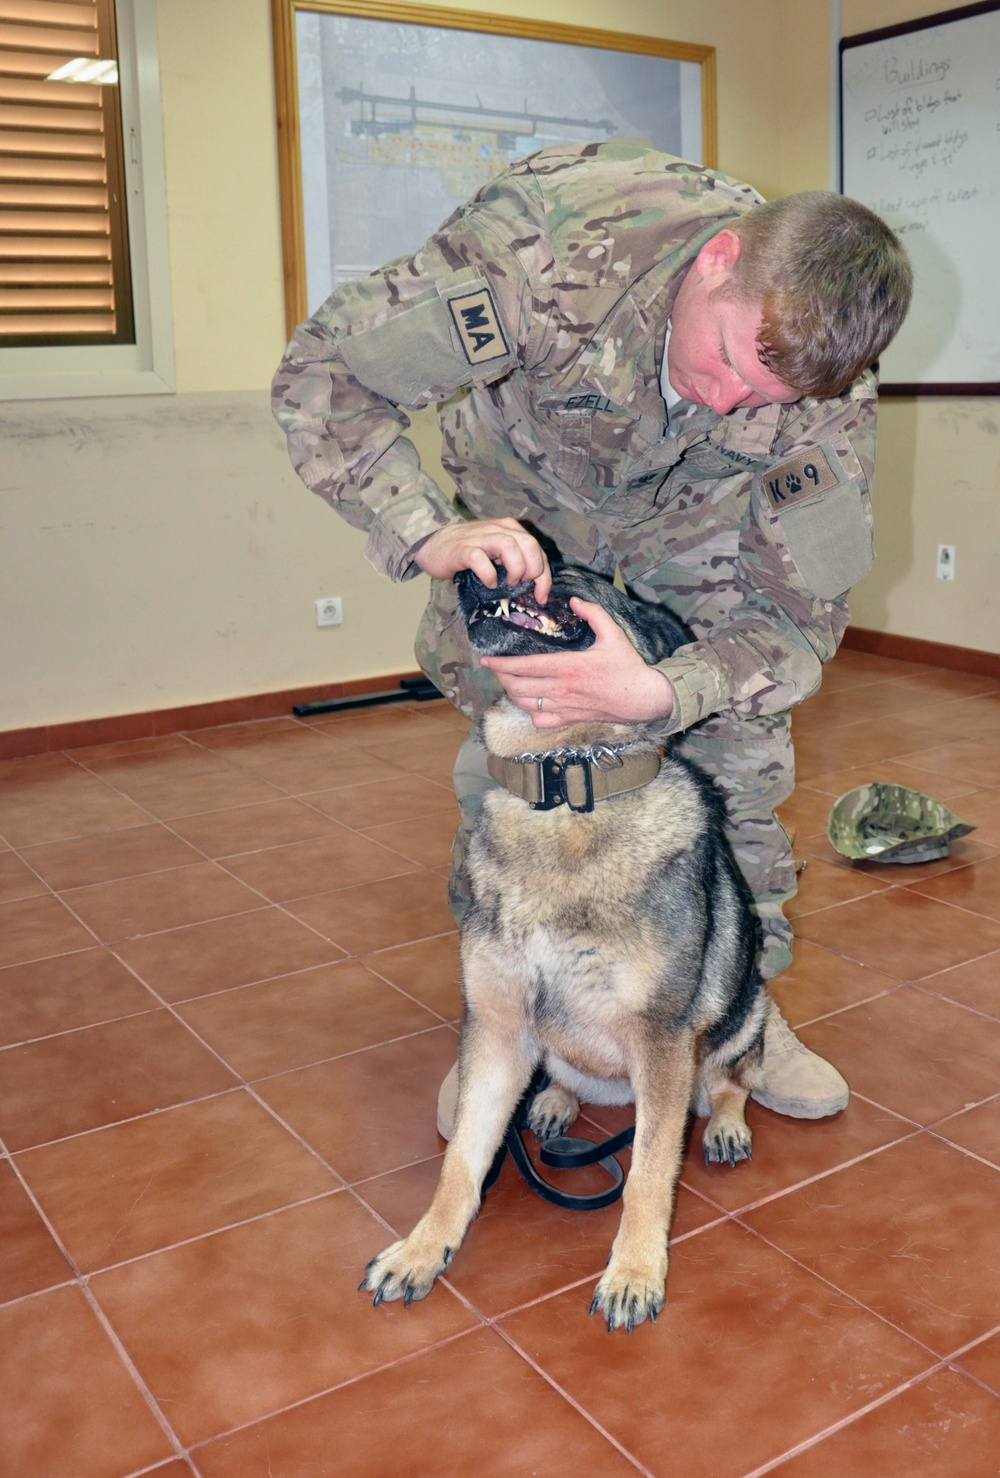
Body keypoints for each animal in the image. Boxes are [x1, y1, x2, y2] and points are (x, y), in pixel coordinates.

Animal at [360, 561, 762, 1330]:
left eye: (569, 576)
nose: (468, 572)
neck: (566, 780)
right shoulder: (495, 1028)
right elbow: (462, 1160)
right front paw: (423, 1249)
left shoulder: (662, 1040)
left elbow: (648, 1171)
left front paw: (634, 1273)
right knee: (569, 1080)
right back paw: (553, 1102)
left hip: (744, 1010)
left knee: (730, 1081)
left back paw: (725, 1124)